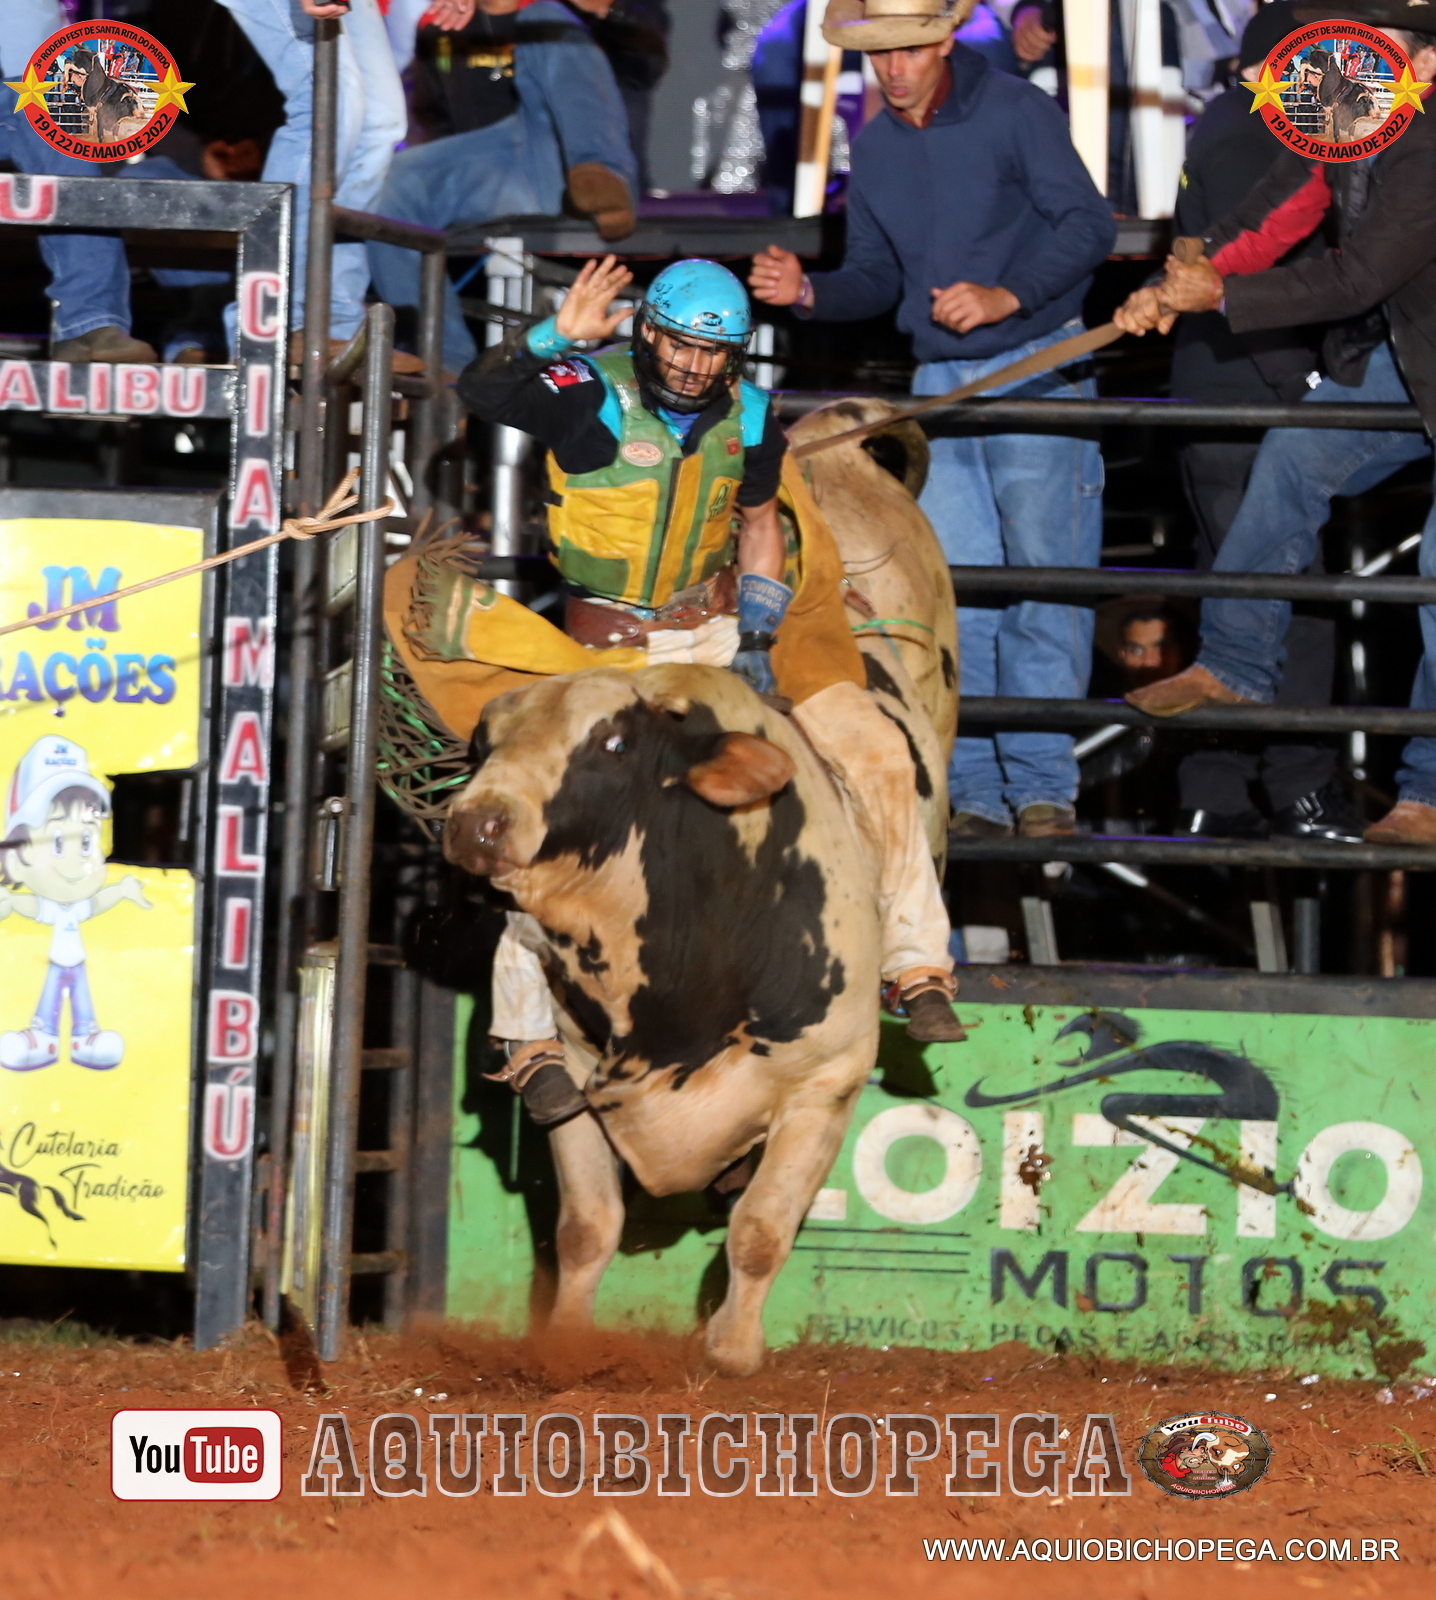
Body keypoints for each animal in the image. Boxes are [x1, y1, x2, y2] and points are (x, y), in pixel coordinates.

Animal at [442, 663, 886, 1377]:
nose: (476, 823)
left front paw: (732, 1348)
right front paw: (568, 1341)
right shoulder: (575, 1081)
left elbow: (761, 1227)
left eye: (615, 744)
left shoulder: (826, 1083)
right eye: (485, 744)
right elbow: (587, 1226)